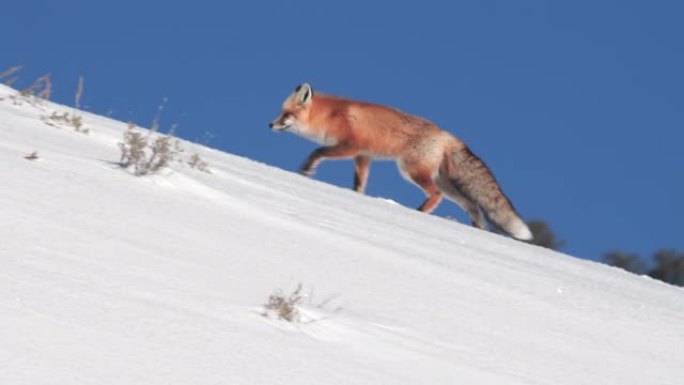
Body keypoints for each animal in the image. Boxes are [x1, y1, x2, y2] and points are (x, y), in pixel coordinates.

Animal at [268, 83, 536, 240]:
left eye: (285, 114)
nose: (269, 124)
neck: (330, 115)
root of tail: (448, 135)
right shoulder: (363, 156)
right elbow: (359, 185)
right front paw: (356, 198)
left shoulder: (351, 146)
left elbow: (317, 153)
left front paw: (307, 170)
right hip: (446, 183)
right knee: (472, 204)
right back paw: (479, 228)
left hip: (411, 171)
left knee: (436, 195)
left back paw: (420, 213)